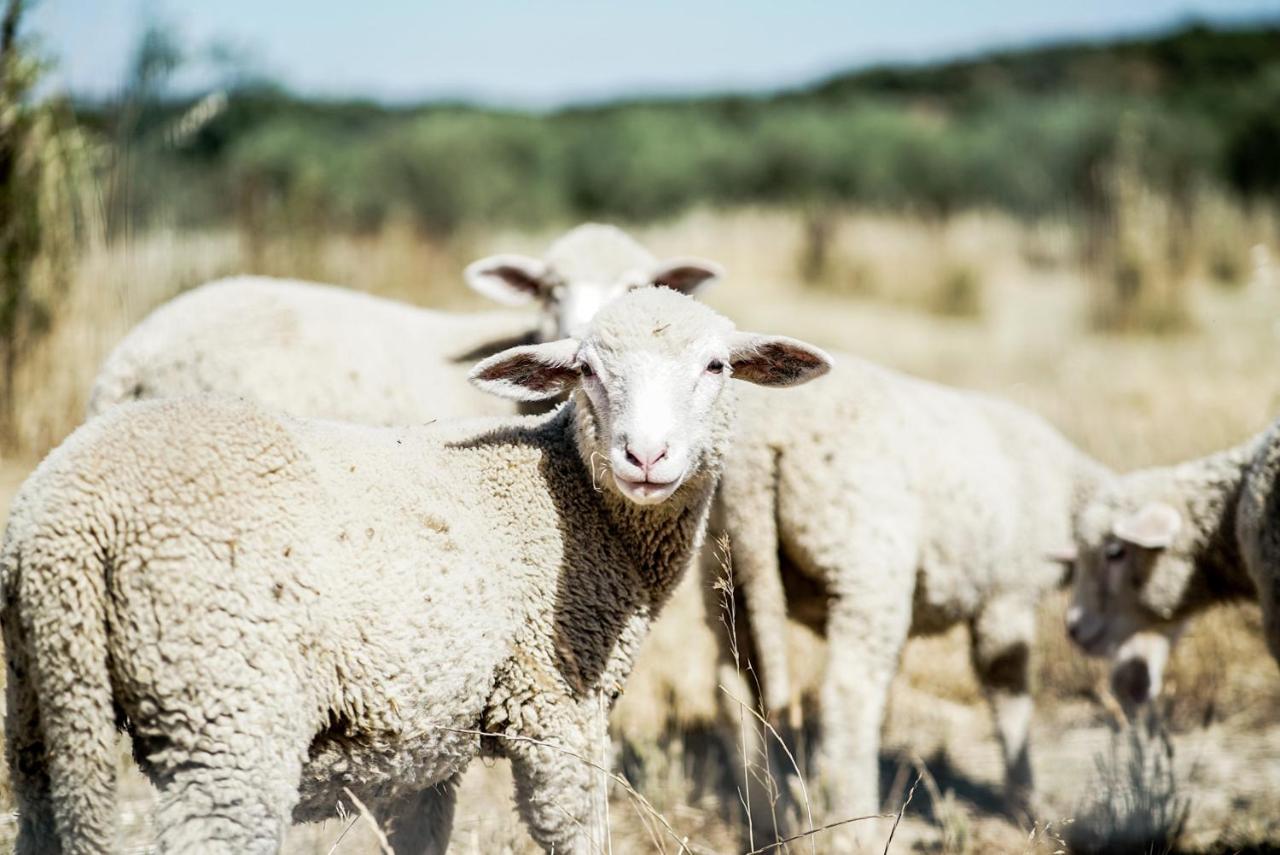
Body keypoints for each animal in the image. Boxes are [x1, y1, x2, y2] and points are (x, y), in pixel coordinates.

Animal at [0, 286, 829, 855]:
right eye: (587, 370)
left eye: (715, 366)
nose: (646, 456)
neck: (573, 496)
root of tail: (68, 523)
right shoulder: (556, 705)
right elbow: (575, 831)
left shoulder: (432, 737)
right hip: (228, 715)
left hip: (42, 706)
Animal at [711, 355, 1111, 839]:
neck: (1070, 489)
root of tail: (758, 444)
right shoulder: (1007, 594)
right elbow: (1008, 691)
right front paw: (1028, 805)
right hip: (864, 561)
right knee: (848, 695)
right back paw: (854, 826)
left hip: (728, 567)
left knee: (732, 686)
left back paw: (764, 815)